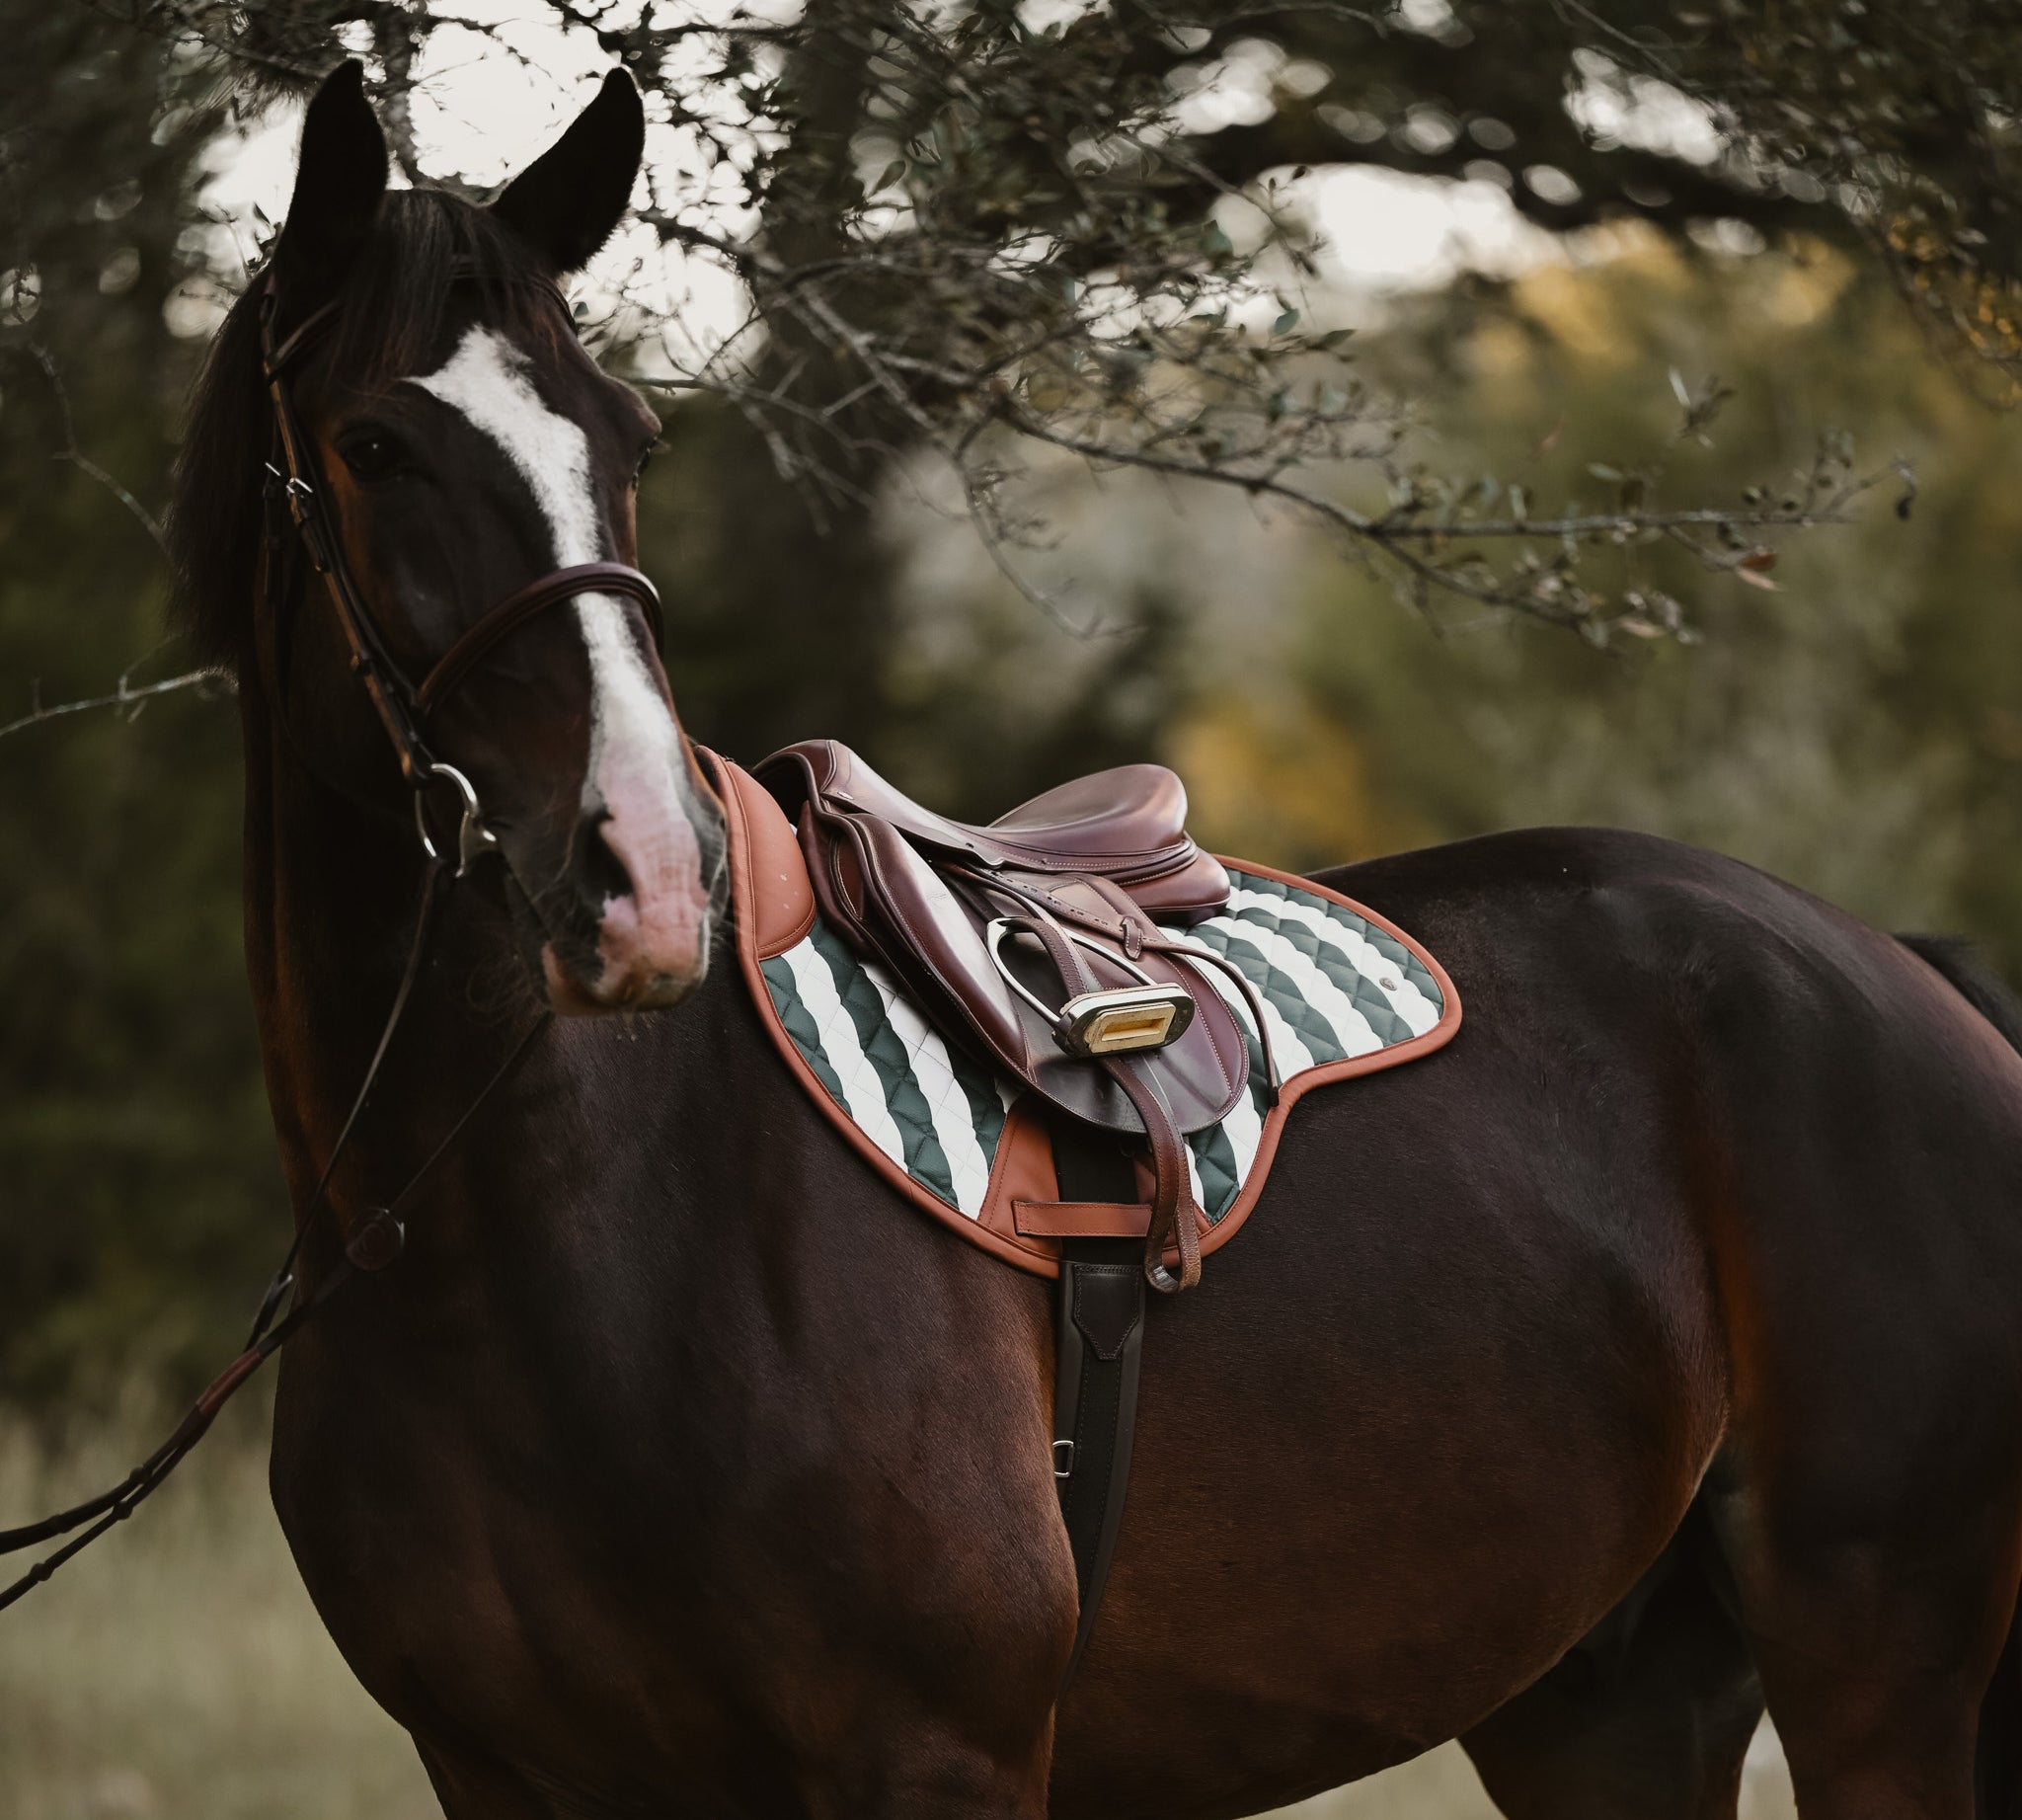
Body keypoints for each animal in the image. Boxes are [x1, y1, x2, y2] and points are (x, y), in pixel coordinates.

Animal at [163, 57, 2022, 1820]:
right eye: (373, 447)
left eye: (628, 438)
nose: (650, 873)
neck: (548, 1230)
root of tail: (1900, 973)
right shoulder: (498, 1772)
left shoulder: (935, 1755)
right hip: (1610, 1697)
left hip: (1877, 1669)